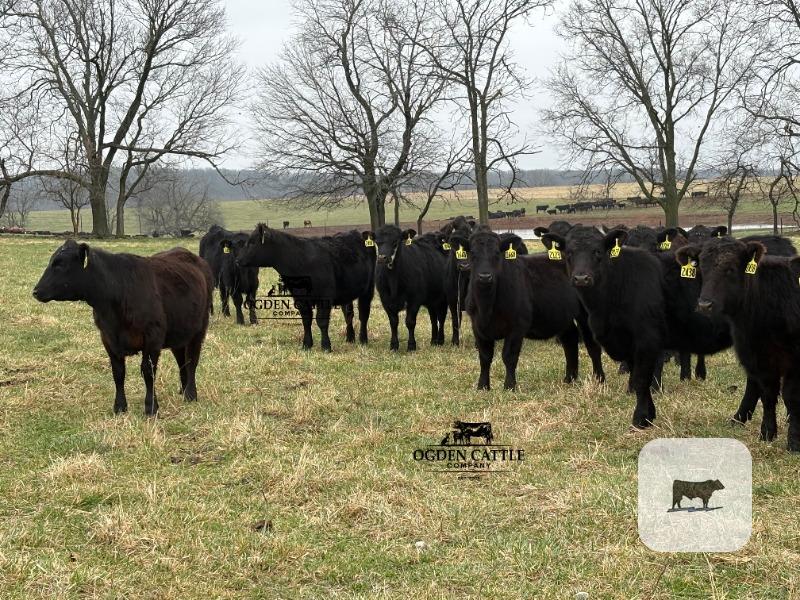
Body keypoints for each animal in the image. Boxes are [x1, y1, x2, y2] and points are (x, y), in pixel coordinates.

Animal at [32, 240, 212, 416]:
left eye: (60, 264)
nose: (35, 291)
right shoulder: (107, 337)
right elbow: (118, 373)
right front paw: (119, 407)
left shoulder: (153, 338)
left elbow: (148, 372)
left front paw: (151, 407)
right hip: (179, 333)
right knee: (182, 361)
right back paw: (183, 390)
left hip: (199, 329)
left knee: (191, 361)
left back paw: (191, 394)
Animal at [237, 224, 375, 351]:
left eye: (252, 243)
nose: (237, 260)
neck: (301, 262)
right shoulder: (300, 297)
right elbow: (306, 320)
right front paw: (307, 344)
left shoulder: (324, 297)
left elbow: (321, 321)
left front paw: (326, 346)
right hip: (347, 293)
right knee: (348, 314)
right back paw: (350, 338)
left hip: (368, 290)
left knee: (364, 314)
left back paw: (363, 339)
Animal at [466, 228, 605, 391]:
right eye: (472, 253)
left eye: (496, 254)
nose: (485, 276)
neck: (486, 307)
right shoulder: (477, 327)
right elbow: (485, 357)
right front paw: (482, 386)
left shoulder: (518, 326)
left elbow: (509, 356)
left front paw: (509, 386)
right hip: (561, 314)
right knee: (570, 340)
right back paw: (569, 378)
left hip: (585, 313)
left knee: (592, 345)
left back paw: (599, 379)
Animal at [678, 238, 800, 450]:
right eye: (702, 268)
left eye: (731, 269)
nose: (704, 305)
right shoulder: (757, 357)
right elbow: (768, 394)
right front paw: (767, 433)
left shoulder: (793, 359)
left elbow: (790, 396)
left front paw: (793, 441)